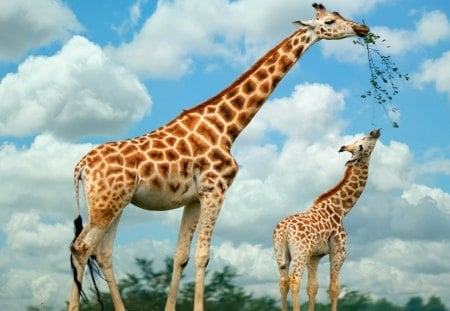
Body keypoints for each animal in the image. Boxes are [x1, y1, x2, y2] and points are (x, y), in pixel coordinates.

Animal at [67, 3, 370, 311]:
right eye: (329, 21)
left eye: (340, 15)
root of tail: (81, 166)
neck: (227, 128)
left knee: (102, 252)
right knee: (81, 247)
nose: (363, 29)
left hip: (114, 203)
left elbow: (181, 256)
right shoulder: (215, 190)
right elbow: (203, 255)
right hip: (107, 204)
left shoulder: (193, 198)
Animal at [272, 130, 382, 311]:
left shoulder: (315, 256)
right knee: (294, 280)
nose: (376, 131)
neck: (341, 209)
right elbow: (334, 288)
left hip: (281, 253)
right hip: (300, 253)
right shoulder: (338, 251)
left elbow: (313, 287)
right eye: (362, 143)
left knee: (283, 282)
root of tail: (285, 229)